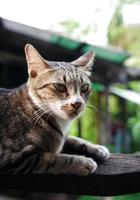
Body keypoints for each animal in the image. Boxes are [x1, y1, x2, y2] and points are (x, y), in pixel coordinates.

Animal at [0, 45, 109, 175]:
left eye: (85, 87)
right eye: (59, 86)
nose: (77, 103)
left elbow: (70, 139)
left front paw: (96, 147)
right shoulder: (11, 157)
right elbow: (50, 158)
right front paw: (83, 162)